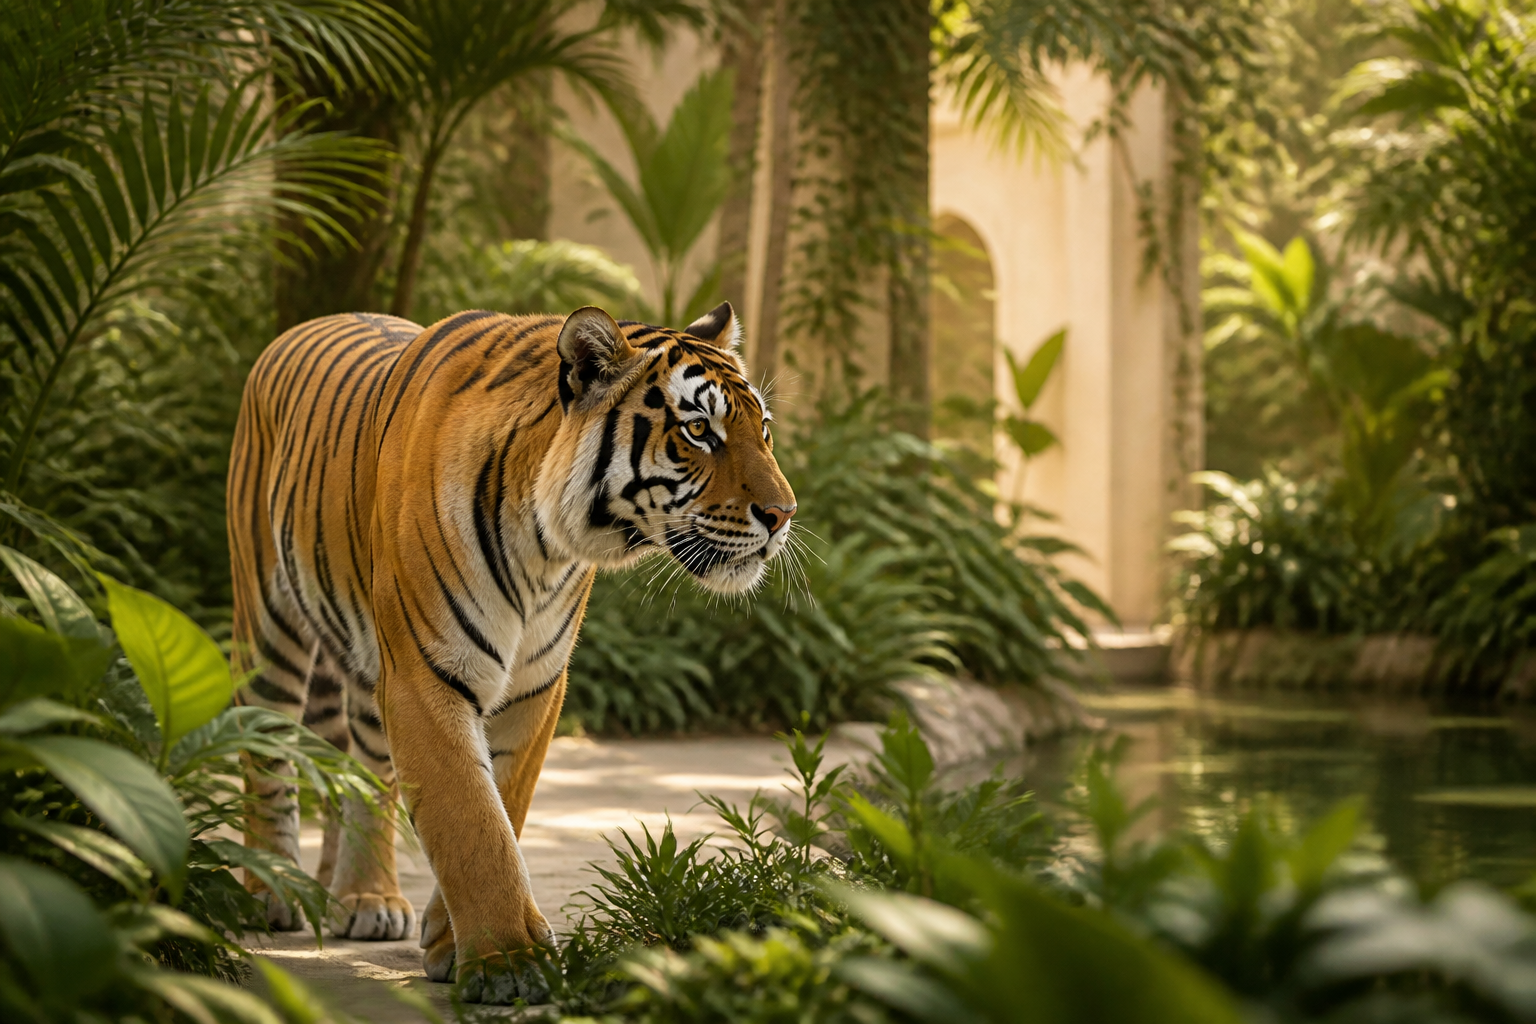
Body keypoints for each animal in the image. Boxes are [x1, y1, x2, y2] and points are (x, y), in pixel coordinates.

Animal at [227, 301, 796, 992]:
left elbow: (505, 805)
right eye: (697, 430)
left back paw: (362, 896)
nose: (784, 513)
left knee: (362, 772)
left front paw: (452, 943)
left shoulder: (535, 684)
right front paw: (509, 960)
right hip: (269, 625)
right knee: (266, 748)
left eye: (762, 430)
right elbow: (471, 819)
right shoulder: (424, 675)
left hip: (364, 670)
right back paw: (268, 891)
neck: (545, 547)